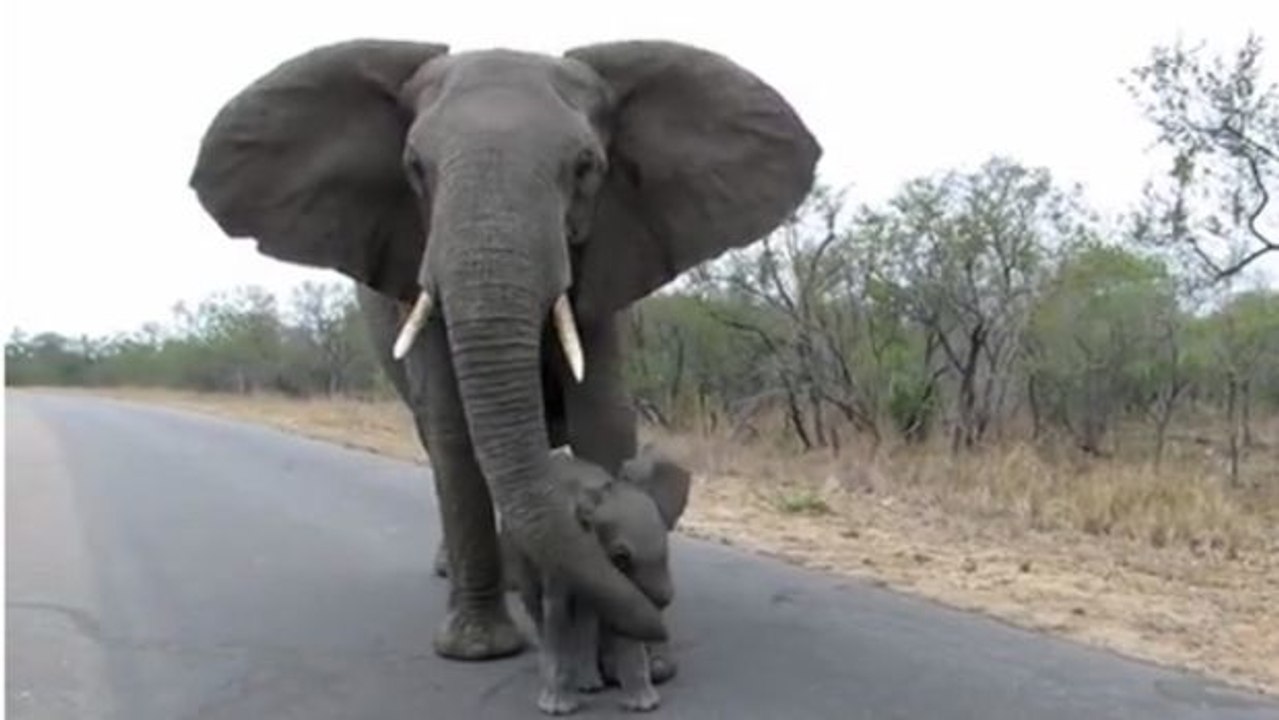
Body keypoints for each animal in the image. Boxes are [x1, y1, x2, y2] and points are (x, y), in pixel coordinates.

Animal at [188, 38, 820, 661]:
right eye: (414, 168)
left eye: (585, 166)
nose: (652, 610)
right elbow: (453, 429)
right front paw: (480, 649)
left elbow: (603, 417)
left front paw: (641, 657)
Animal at [503, 445, 691, 715]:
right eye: (621, 558)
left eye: (666, 549)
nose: (664, 600)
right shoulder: (559, 553)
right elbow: (557, 610)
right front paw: (558, 710)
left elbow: (624, 616)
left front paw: (644, 706)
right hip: (518, 549)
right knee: (536, 604)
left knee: (586, 612)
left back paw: (589, 684)